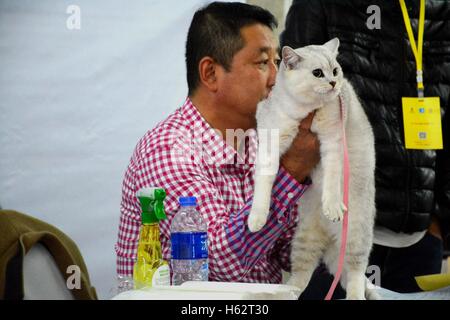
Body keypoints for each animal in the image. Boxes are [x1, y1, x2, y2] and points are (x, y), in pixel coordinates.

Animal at [248, 38, 378, 300]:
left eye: (335, 71)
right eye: (318, 73)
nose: (333, 82)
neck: (303, 111)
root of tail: (330, 236)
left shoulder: (332, 143)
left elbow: (331, 180)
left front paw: (332, 205)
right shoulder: (270, 143)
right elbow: (264, 183)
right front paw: (257, 218)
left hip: (356, 235)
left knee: (356, 273)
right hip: (303, 240)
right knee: (300, 278)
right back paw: (284, 293)